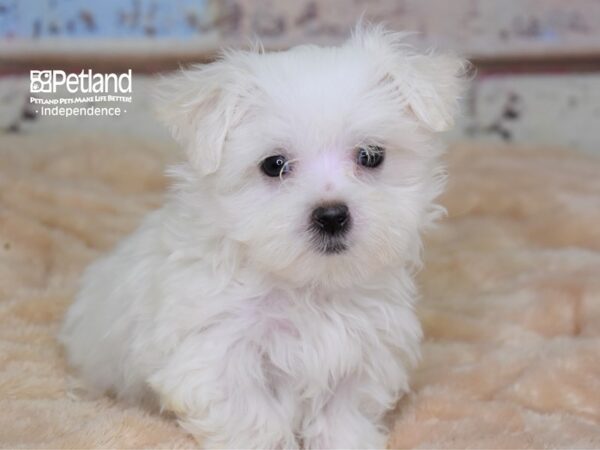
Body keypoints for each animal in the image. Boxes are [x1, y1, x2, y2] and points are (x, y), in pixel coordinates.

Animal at [59, 26, 464, 448]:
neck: (308, 288)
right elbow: (253, 420)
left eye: (370, 156)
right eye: (274, 165)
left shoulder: (364, 354)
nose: (332, 216)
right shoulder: (217, 354)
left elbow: (342, 416)